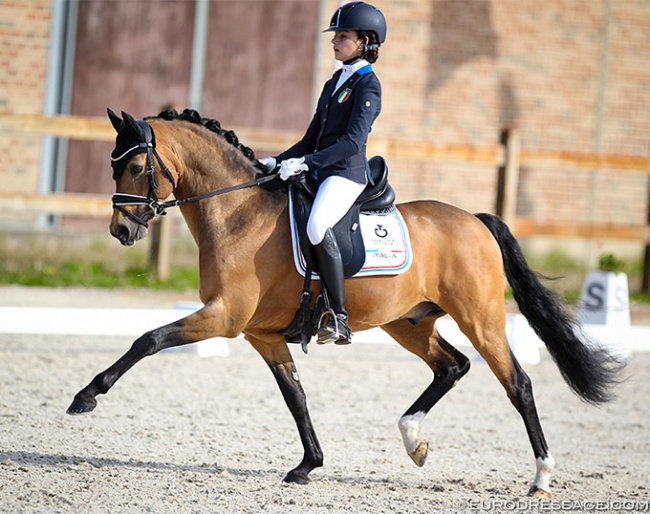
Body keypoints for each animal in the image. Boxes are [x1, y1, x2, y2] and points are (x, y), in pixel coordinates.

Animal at [67, 108, 624, 496]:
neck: (237, 212)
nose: (121, 231)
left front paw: (86, 396)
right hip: (408, 323)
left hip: (480, 318)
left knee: (518, 384)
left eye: (135, 165)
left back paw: (541, 479)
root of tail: (474, 219)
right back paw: (414, 440)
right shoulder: (260, 334)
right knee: (451, 367)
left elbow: (148, 339)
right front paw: (307, 465)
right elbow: (295, 396)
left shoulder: (224, 319)